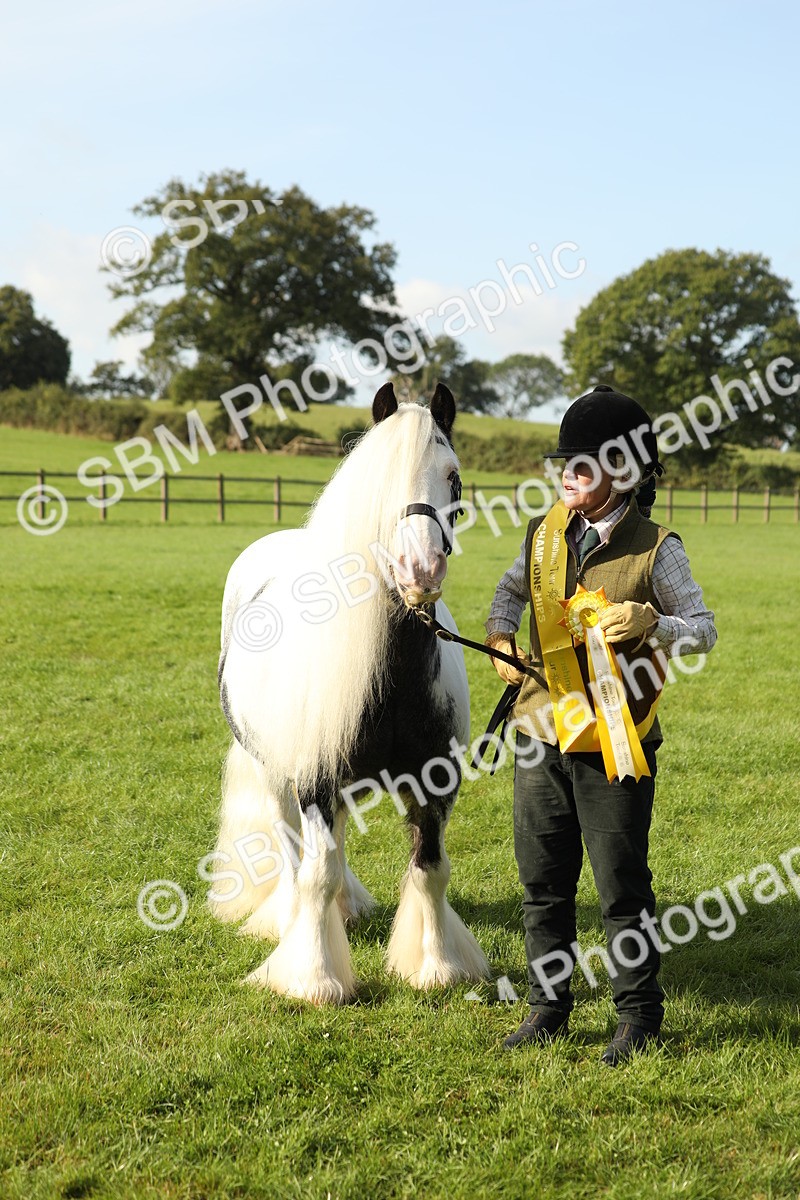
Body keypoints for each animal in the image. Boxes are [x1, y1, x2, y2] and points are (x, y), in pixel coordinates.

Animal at [210, 381, 489, 1004]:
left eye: (454, 476)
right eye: (379, 478)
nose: (419, 568)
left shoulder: (435, 785)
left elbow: (430, 869)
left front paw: (436, 964)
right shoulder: (314, 781)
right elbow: (314, 871)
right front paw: (314, 978)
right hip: (275, 771)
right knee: (294, 851)